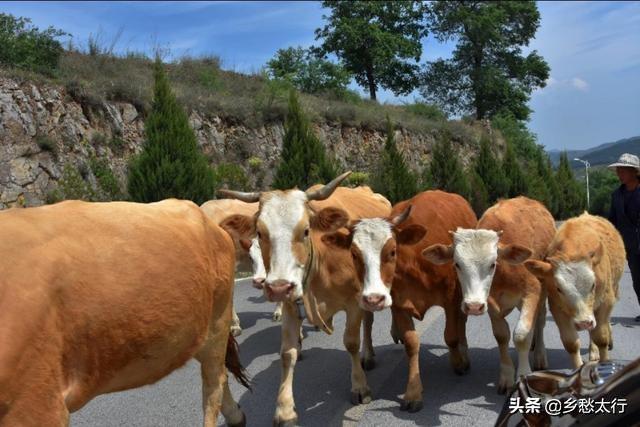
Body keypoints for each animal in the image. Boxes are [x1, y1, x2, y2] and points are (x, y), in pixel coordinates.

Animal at [219, 174, 396, 427]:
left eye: (305, 230)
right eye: (260, 233)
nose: (277, 287)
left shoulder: (355, 302)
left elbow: (351, 342)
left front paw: (360, 386)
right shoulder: (290, 305)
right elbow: (287, 354)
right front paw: (285, 411)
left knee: (368, 322)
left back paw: (368, 356)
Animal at [424, 197, 556, 394]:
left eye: (493, 264)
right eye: (457, 264)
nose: (473, 306)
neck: (505, 273)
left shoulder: (532, 292)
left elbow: (521, 335)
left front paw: (523, 375)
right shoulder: (491, 303)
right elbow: (502, 335)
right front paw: (506, 376)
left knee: (539, 320)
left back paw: (540, 354)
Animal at [524, 213, 624, 368]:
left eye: (593, 285)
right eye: (559, 288)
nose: (584, 323)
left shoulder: (605, 302)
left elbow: (601, 338)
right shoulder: (557, 308)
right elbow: (571, 343)